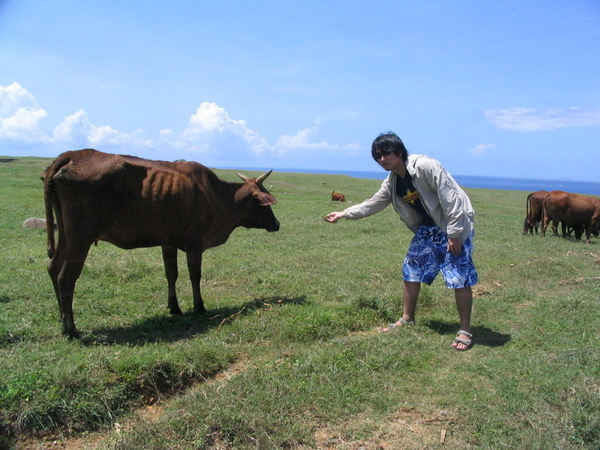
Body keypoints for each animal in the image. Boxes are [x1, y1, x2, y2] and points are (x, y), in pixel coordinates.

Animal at [42, 149, 282, 336]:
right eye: (265, 201)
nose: (277, 223)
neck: (217, 195)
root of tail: (71, 155)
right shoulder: (195, 243)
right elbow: (195, 275)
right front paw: (199, 306)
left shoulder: (168, 242)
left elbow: (171, 274)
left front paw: (174, 307)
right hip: (80, 238)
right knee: (66, 277)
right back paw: (71, 328)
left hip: (65, 235)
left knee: (53, 268)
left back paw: (61, 317)